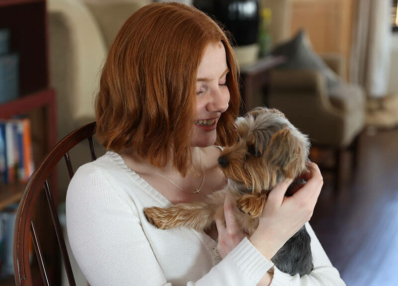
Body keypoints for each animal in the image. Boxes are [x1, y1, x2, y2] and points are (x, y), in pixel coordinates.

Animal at [144, 108, 314, 278]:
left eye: (254, 151)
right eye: (239, 137)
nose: (221, 160)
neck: (246, 187)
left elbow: (268, 193)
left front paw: (253, 202)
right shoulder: (220, 202)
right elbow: (191, 209)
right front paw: (160, 216)